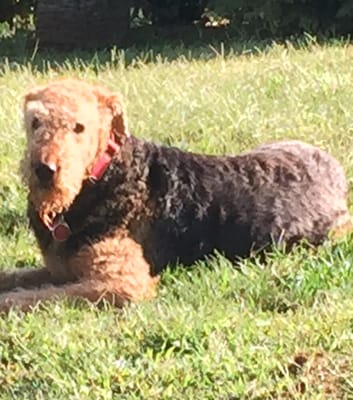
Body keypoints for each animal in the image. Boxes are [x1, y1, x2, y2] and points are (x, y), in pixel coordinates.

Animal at [0, 76, 348, 310]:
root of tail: (336, 172)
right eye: (35, 121)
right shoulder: (58, 268)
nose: (44, 170)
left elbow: (30, 297)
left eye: (79, 127)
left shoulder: (123, 281)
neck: (104, 174)